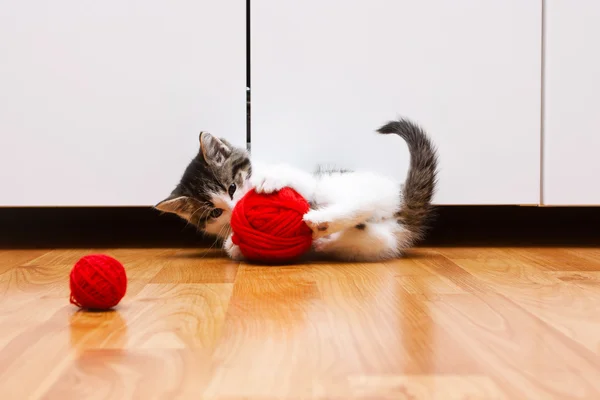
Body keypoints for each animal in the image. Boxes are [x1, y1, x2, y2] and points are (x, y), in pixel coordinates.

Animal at [155, 118, 436, 262]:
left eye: (232, 187)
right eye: (215, 212)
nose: (235, 209)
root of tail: (401, 200)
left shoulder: (306, 179)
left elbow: (294, 177)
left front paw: (271, 179)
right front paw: (234, 244)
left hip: (335, 184)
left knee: (362, 202)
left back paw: (321, 220)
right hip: (376, 241)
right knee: (375, 236)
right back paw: (325, 237)